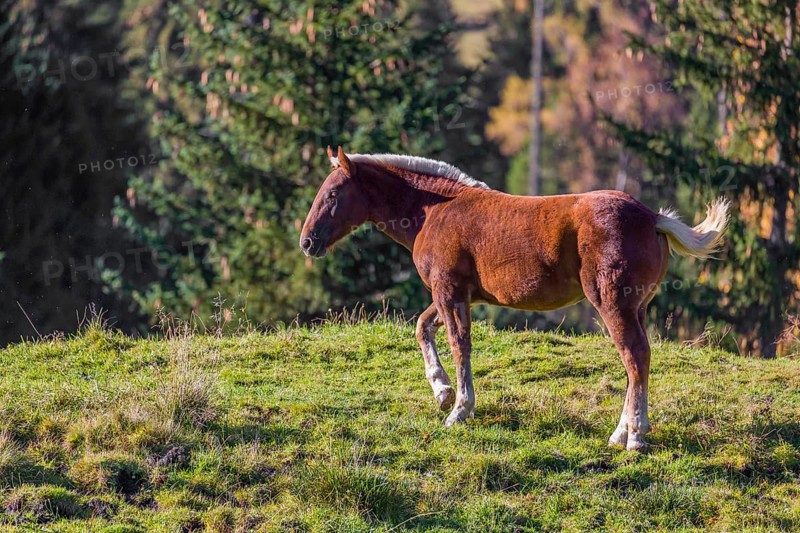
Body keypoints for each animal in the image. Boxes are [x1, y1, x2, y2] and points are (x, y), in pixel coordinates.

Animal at [300, 146, 729, 451]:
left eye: (333, 193)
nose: (307, 242)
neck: (434, 211)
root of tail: (652, 217)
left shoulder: (448, 290)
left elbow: (459, 344)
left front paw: (460, 409)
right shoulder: (456, 294)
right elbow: (423, 327)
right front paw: (441, 392)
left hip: (613, 304)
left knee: (635, 357)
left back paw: (635, 437)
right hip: (635, 308)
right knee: (635, 361)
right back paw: (620, 433)